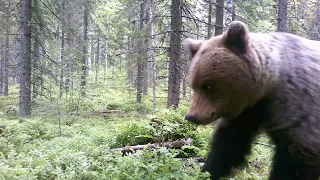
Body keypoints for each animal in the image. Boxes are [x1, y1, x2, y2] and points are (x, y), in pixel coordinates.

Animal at [182, 20, 320, 179]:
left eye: (208, 86)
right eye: (193, 86)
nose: (191, 116)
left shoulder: (298, 109)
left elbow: (294, 163)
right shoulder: (250, 110)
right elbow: (231, 143)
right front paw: (207, 170)